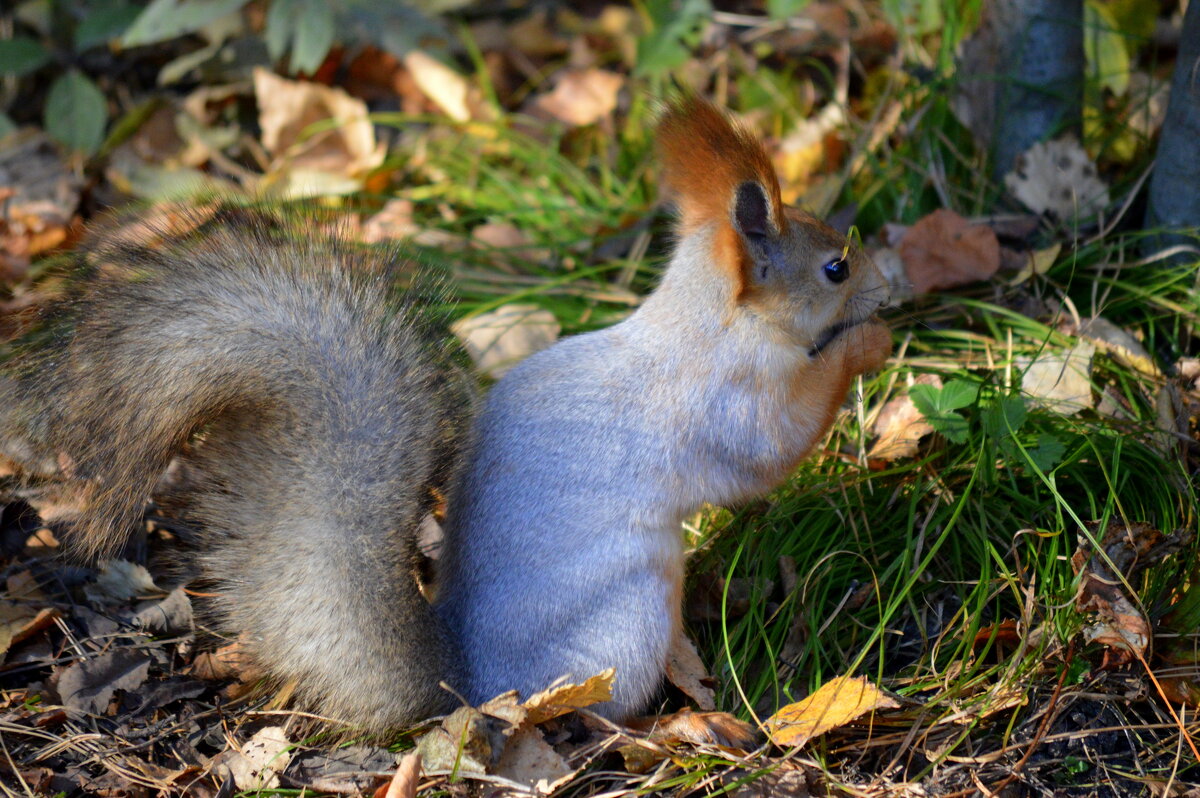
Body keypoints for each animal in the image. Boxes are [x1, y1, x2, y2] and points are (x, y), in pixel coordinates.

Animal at [0, 97, 892, 734]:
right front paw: (865, 345)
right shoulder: (721, 405)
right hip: (624, 623)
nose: (887, 282)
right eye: (834, 267)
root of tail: (472, 689)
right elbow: (769, 451)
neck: (697, 325)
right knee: (594, 716)